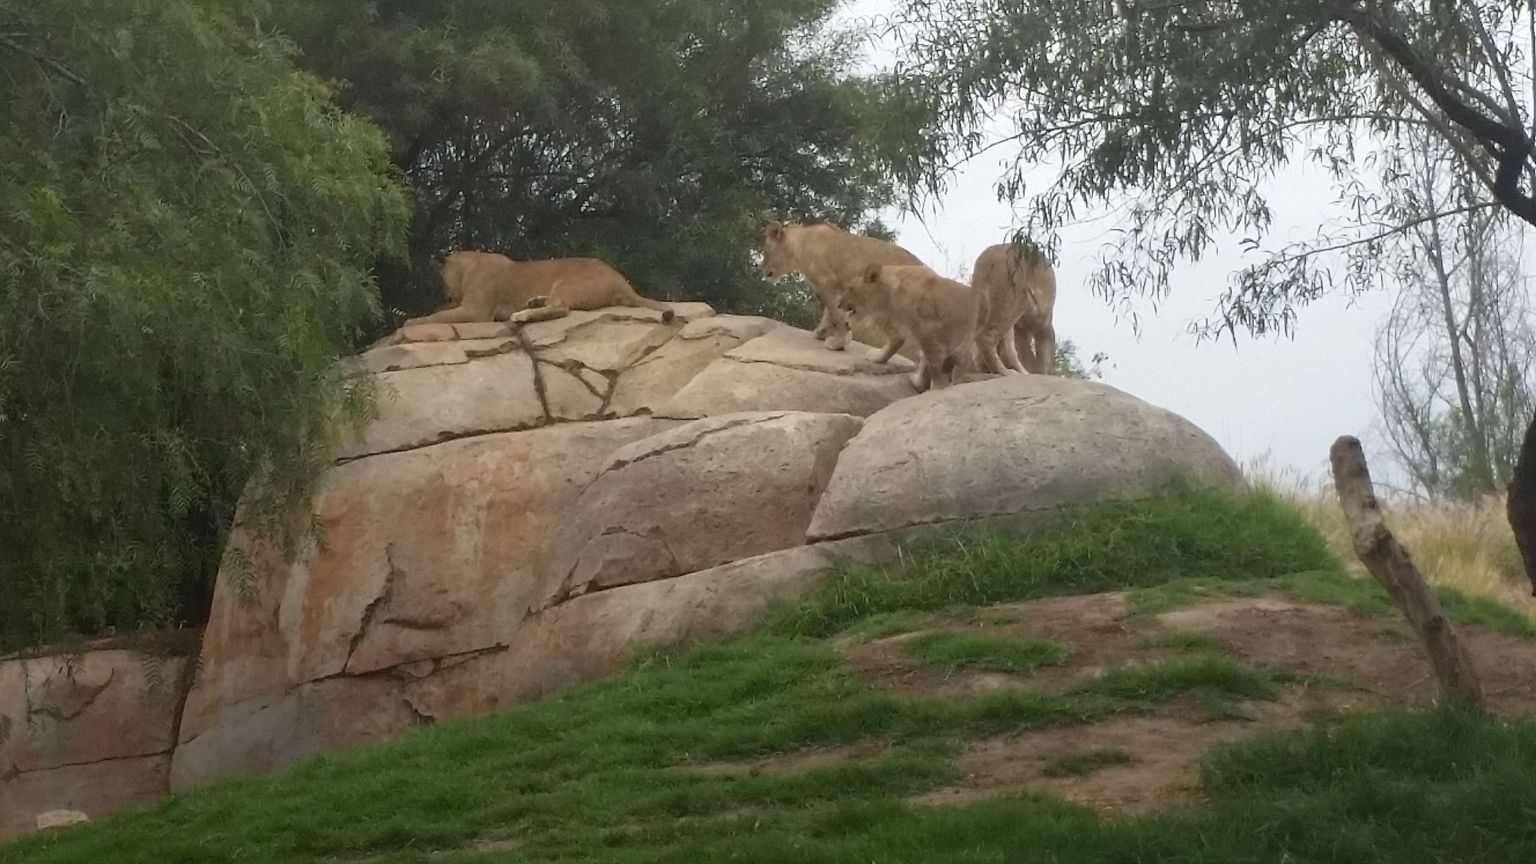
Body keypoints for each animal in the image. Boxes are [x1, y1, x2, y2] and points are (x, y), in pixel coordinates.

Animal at [405, 252, 675, 328]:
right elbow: (440, 311)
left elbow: (439, 316)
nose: (446, 294)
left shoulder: (475, 310)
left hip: (567, 283)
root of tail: (622, 281)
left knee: (561, 308)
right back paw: (533, 302)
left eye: (441, 281)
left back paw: (522, 315)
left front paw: (410, 322)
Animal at [758, 221, 921, 350]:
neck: (801, 244)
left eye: (765, 250)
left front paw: (838, 343)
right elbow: (830, 313)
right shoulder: (835, 287)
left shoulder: (826, 283)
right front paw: (822, 334)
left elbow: (836, 315)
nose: (763, 270)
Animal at [841, 262, 983, 390]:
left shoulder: (928, 330)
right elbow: (896, 345)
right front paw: (879, 358)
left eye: (850, 288)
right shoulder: (899, 328)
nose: (838, 304)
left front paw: (938, 387)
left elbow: (935, 364)